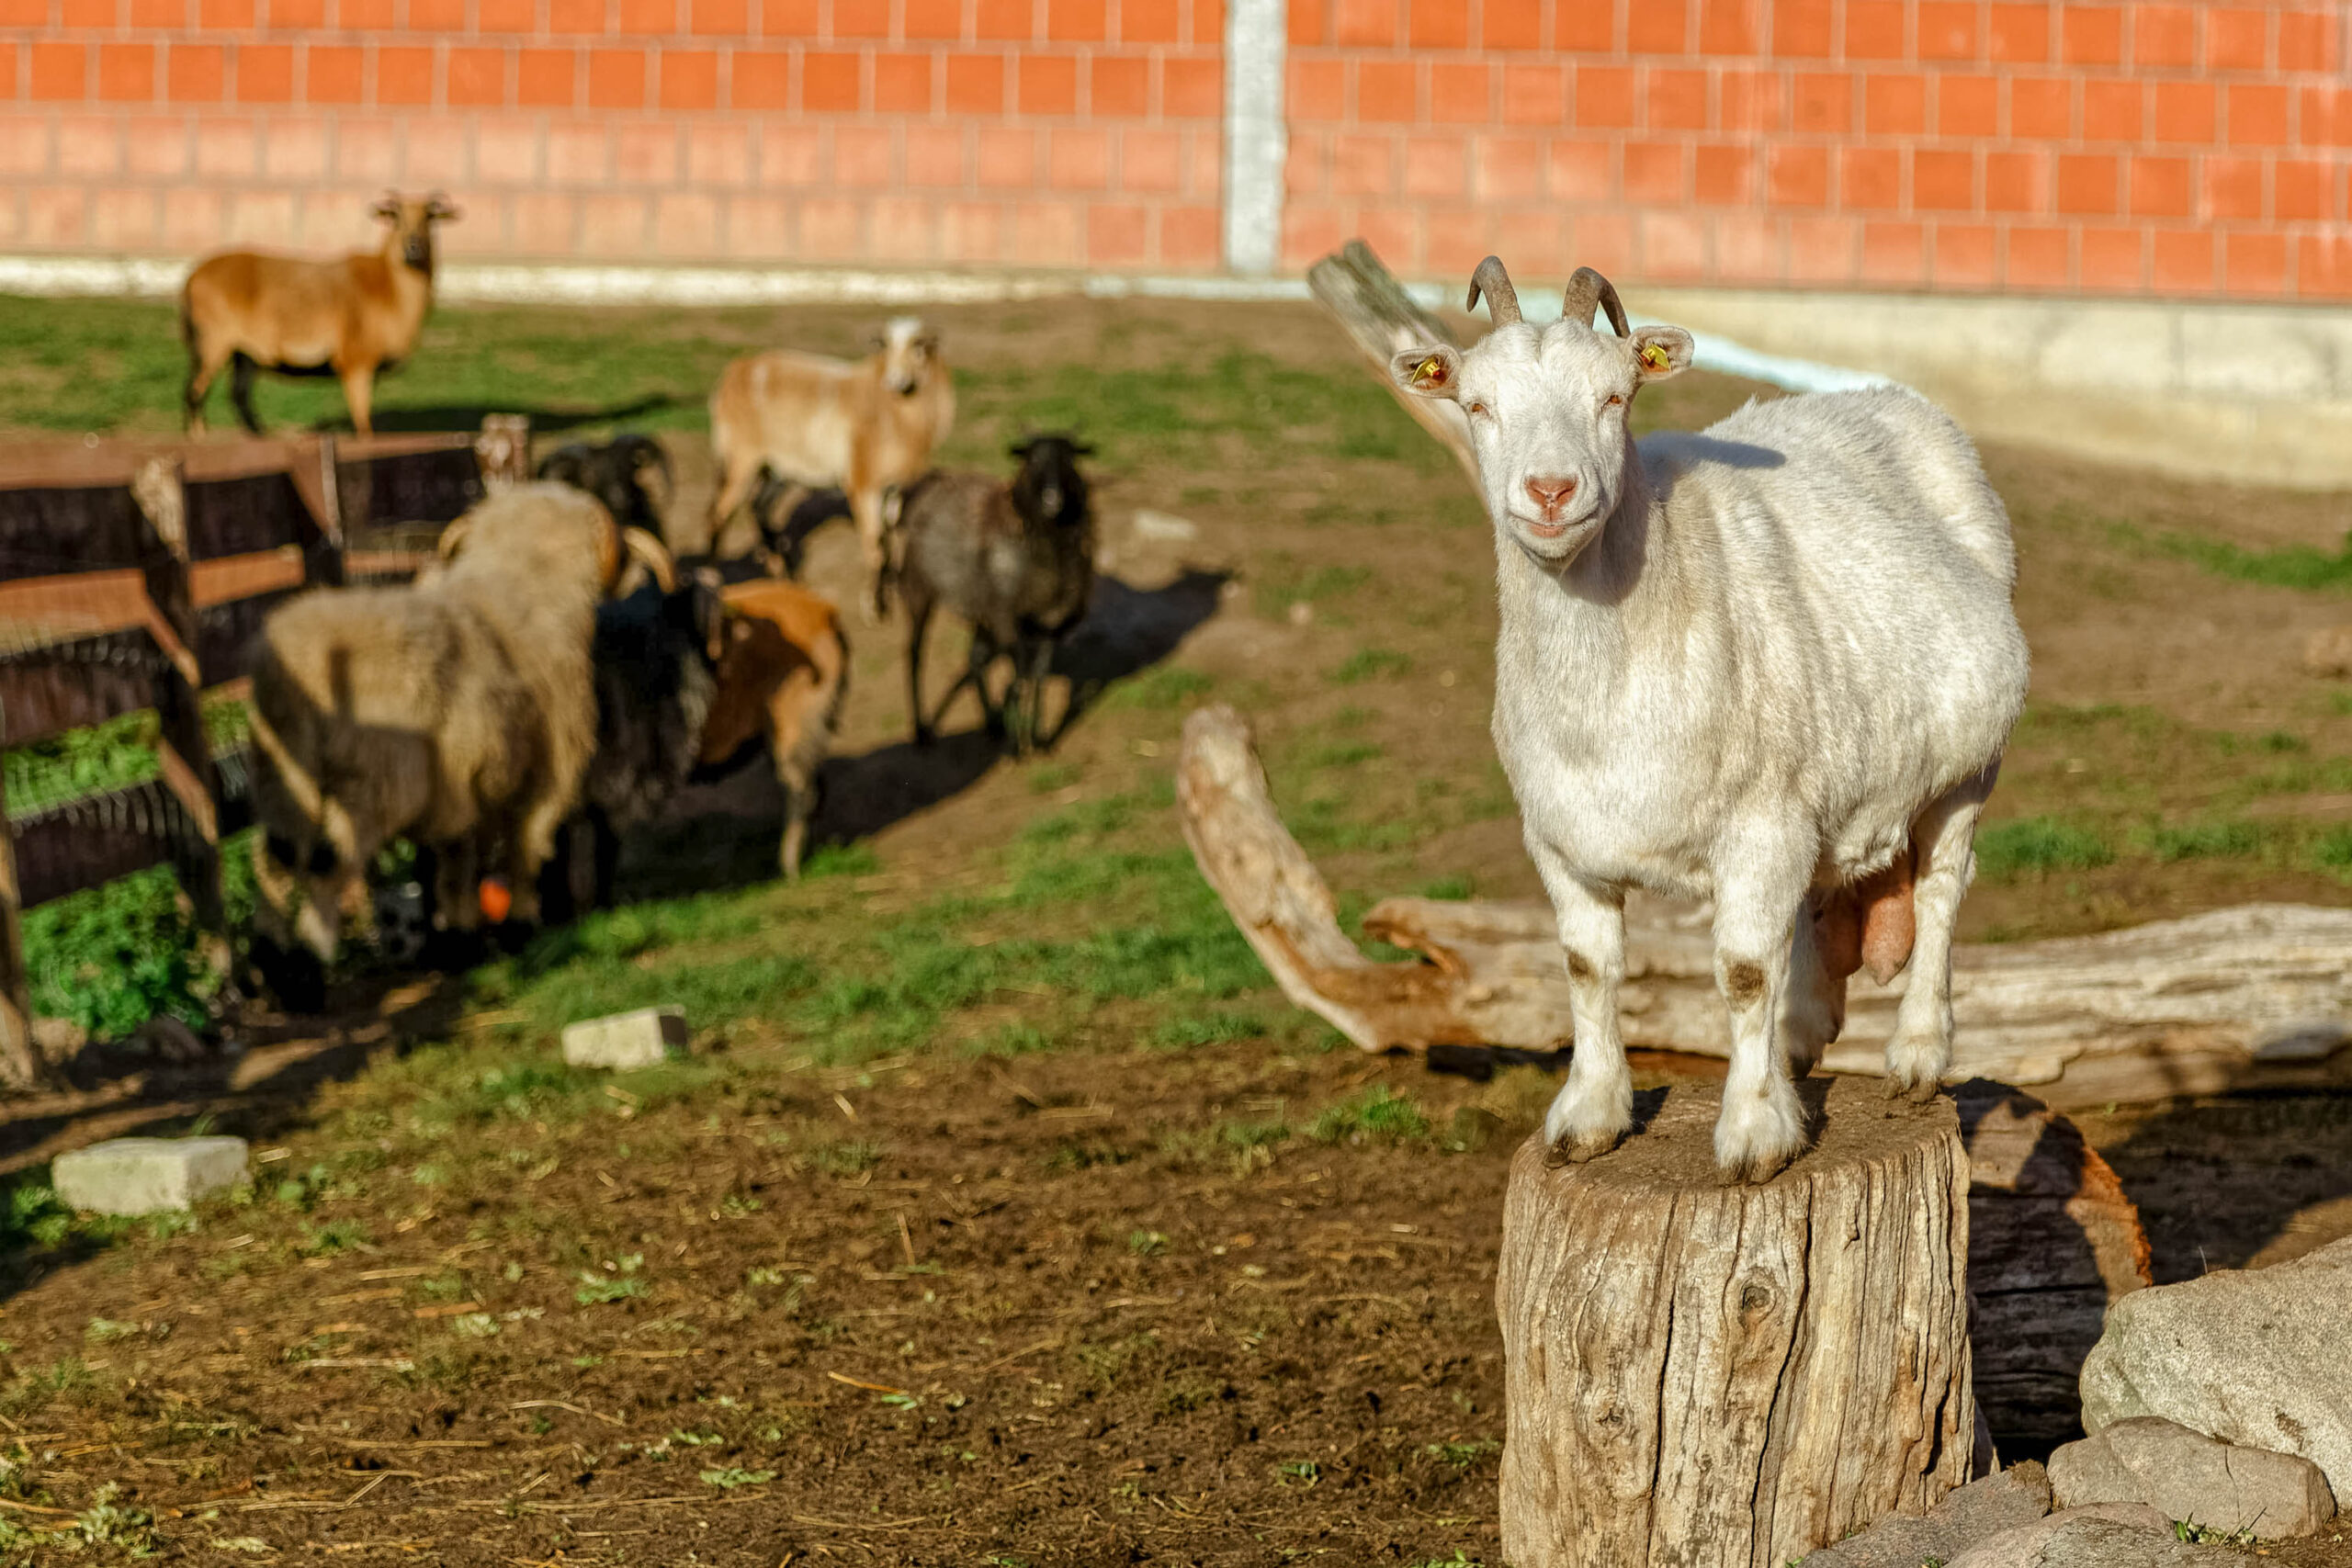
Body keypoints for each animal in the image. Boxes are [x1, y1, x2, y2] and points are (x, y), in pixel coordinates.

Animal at [181, 191, 457, 437]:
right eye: (396, 217)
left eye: (430, 218)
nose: (413, 246)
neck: (389, 290)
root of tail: (192, 277)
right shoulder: (355, 361)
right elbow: (363, 423)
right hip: (212, 340)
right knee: (194, 391)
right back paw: (199, 436)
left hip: (245, 353)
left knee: (237, 395)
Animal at [245, 484, 672, 970]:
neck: (520, 584)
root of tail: (293, 662)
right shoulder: (540, 779)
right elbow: (520, 850)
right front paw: (516, 928)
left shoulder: (465, 786)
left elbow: (456, 863)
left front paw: (457, 940)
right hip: (372, 784)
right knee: (327, 865)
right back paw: (308, 963)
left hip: (283, 777)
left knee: (276, 861)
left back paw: (271, 962)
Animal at [706, 317, 956, 621]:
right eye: (885, 346)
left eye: (919, 348)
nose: (894, 380)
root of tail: (736, 371)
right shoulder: (864, 485)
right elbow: (875, 546)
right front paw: (873, 607)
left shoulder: (896, 489)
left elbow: (890, 542)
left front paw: (888, 594)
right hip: (742, 458)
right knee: (719, 513)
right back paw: (713, 578)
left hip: (778, 468)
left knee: (759, 507)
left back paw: (783, 575)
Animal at [894, 435, 1096, 758]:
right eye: (1030, 459)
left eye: (1070, 459)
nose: (1052, 499)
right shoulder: (1007, 618)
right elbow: (1021, 676)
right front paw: (1016, 745)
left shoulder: (1049, 622)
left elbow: (1037, 673)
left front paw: (1039, 739)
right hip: (918, 591)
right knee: (914, 654)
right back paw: (922, 731)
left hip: (979, 609)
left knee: (974, 658)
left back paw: (992, 724)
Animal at [1390, 257, 2029, 1182]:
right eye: (1477, 404)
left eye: (1615, 398)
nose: (1551, 490)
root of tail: (1895, 401)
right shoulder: (1561, 839)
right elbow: (1587, 967)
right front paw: (1589, 1117)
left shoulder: (1760, 824)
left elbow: (1742, 973)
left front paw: (1755, 1133)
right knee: (1818, 897)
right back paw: (1802, 1035)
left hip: (1968, 763)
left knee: (1943, 887)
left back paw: (1915, 1054)